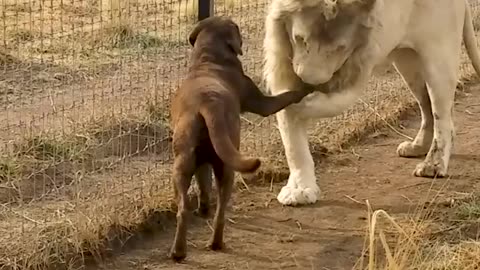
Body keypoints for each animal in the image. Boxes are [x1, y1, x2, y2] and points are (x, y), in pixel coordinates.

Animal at [169, 16, 316, 262]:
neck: (209, 59)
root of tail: (208, 105)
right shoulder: (262, 103)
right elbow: (288, 95)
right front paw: (306, 85)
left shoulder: (201, 164)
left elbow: (203, 186)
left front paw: (203, 209)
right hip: (227, 168)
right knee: (221, 211)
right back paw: (216, 243)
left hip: (182, 165)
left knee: (183, 209)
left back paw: (178, 252)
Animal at [262, 0, 480, 205]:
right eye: (300, 39)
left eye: (341, 48)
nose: (309, 82)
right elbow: (293, 144)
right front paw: (299, 190)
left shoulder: (361, 63)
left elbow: (330, 103)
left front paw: (301, 104)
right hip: (406, 61)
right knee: (427, 107)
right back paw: (417, 147)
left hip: (438, 56)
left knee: (441, 115)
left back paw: (433, 165)